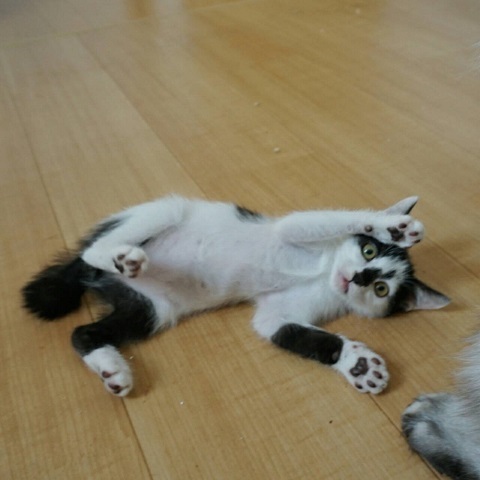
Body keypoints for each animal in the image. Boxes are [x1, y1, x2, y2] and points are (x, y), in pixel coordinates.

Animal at [22, 195, 450, 397]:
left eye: (381, 289)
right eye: (369, 251)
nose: (357, 277)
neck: (324, 272)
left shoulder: (282, 313)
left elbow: (292, 332)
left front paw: (358, 365)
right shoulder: (294, 230)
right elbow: (326, 220)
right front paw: (391, 225)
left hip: (151, 308)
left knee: (83, 333)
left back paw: (113, 370)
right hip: (162, 212)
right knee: (96, 249)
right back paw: (120, 255)